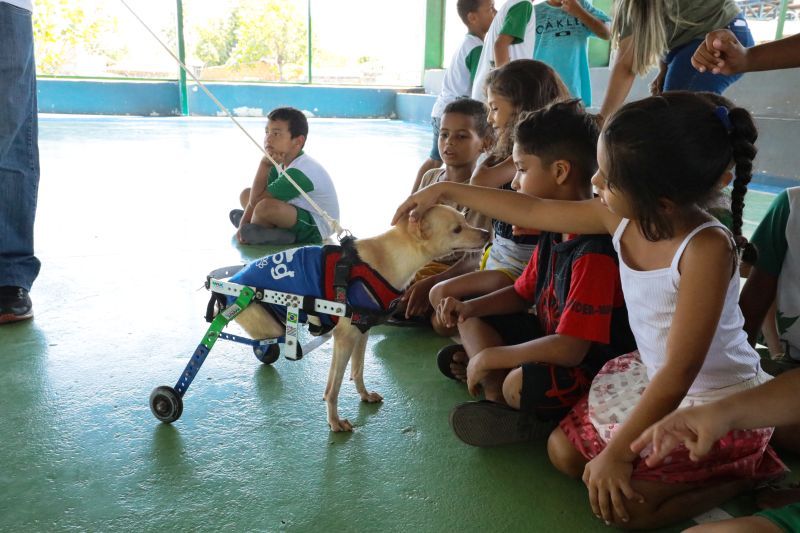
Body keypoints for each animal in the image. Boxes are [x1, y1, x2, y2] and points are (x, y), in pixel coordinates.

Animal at [231, 205, 488, 432]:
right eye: (457, 229)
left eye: (465, 221)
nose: (488, 233)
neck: (387, 259)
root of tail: (233, 280)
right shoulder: (344, 338)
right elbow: (333, 389)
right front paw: (334, 422)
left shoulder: (362, 331)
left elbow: (358, 370)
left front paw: (364, 395)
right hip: (268, 326)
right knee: (264, 343)